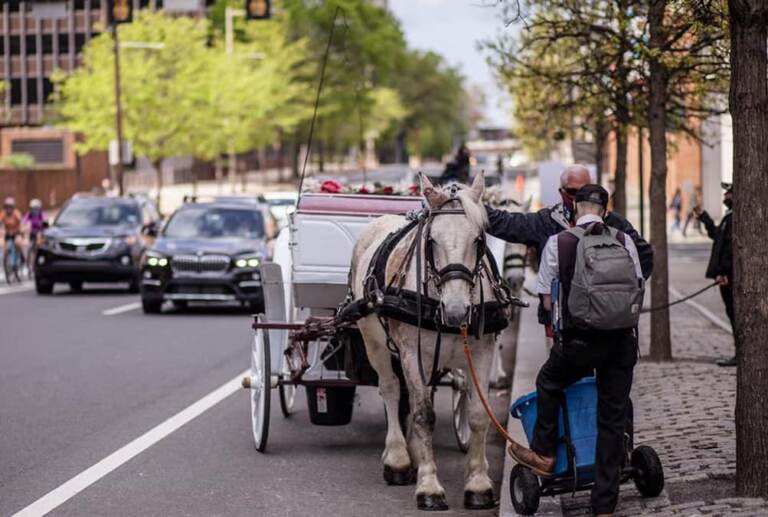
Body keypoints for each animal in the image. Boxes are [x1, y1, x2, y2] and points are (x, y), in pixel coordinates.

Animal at [352, 171, 500, 510]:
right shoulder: (411, 354)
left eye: (479, 240)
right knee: (391, 389)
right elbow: (423, 415)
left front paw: (478, 483)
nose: (457, 311)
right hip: (374, 342)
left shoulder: (482, 353)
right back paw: (397, 458)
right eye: (431, 241)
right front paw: (429, 487)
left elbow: (477, 414)